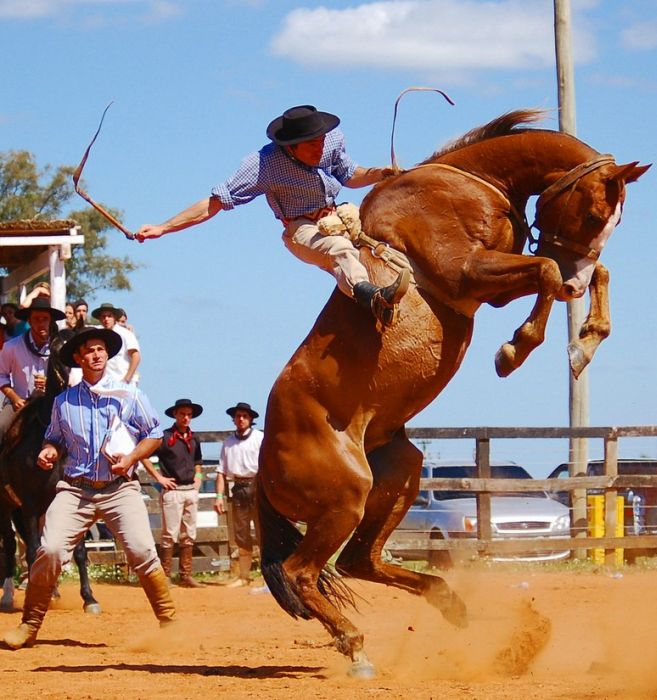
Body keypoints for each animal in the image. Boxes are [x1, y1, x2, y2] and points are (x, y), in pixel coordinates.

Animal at [255, 110, 644, 680]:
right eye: (594, 212)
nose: (578, 286)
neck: (464, 185)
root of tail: (261, 468)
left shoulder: (497, 281)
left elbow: (582, 273)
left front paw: (584, 343)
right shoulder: (468, 274)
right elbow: (547, 270)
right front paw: (515, 350)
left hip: (397, 473)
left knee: (359, 560)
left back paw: (455, 606)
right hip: (344, 499)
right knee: (302, 570)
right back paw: (358, 648)